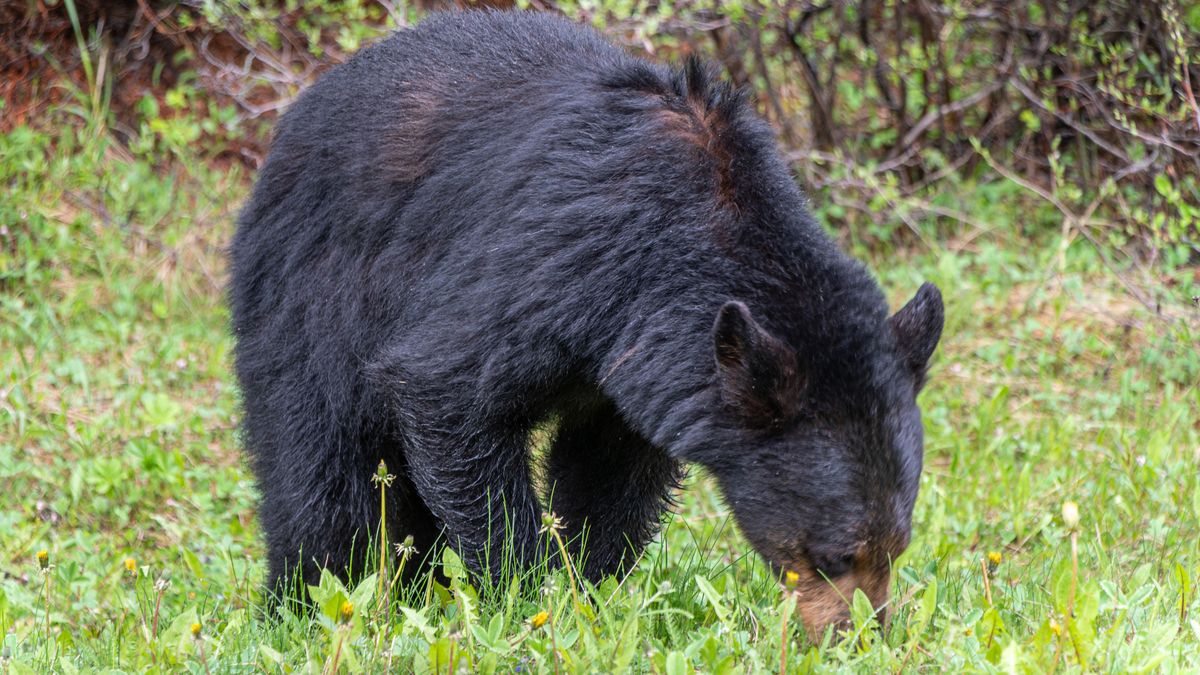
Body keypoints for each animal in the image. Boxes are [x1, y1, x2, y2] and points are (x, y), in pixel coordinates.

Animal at [229, 9, 940, 629]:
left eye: (898, 549)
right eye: (834, 555)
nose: (862, 635)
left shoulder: (637, 364)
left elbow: (610, 475)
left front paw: (588, 593)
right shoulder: (553, 264)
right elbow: (445, 389)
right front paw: (523, 593)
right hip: (308, 297)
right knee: (321, 477)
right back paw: (299, 605)